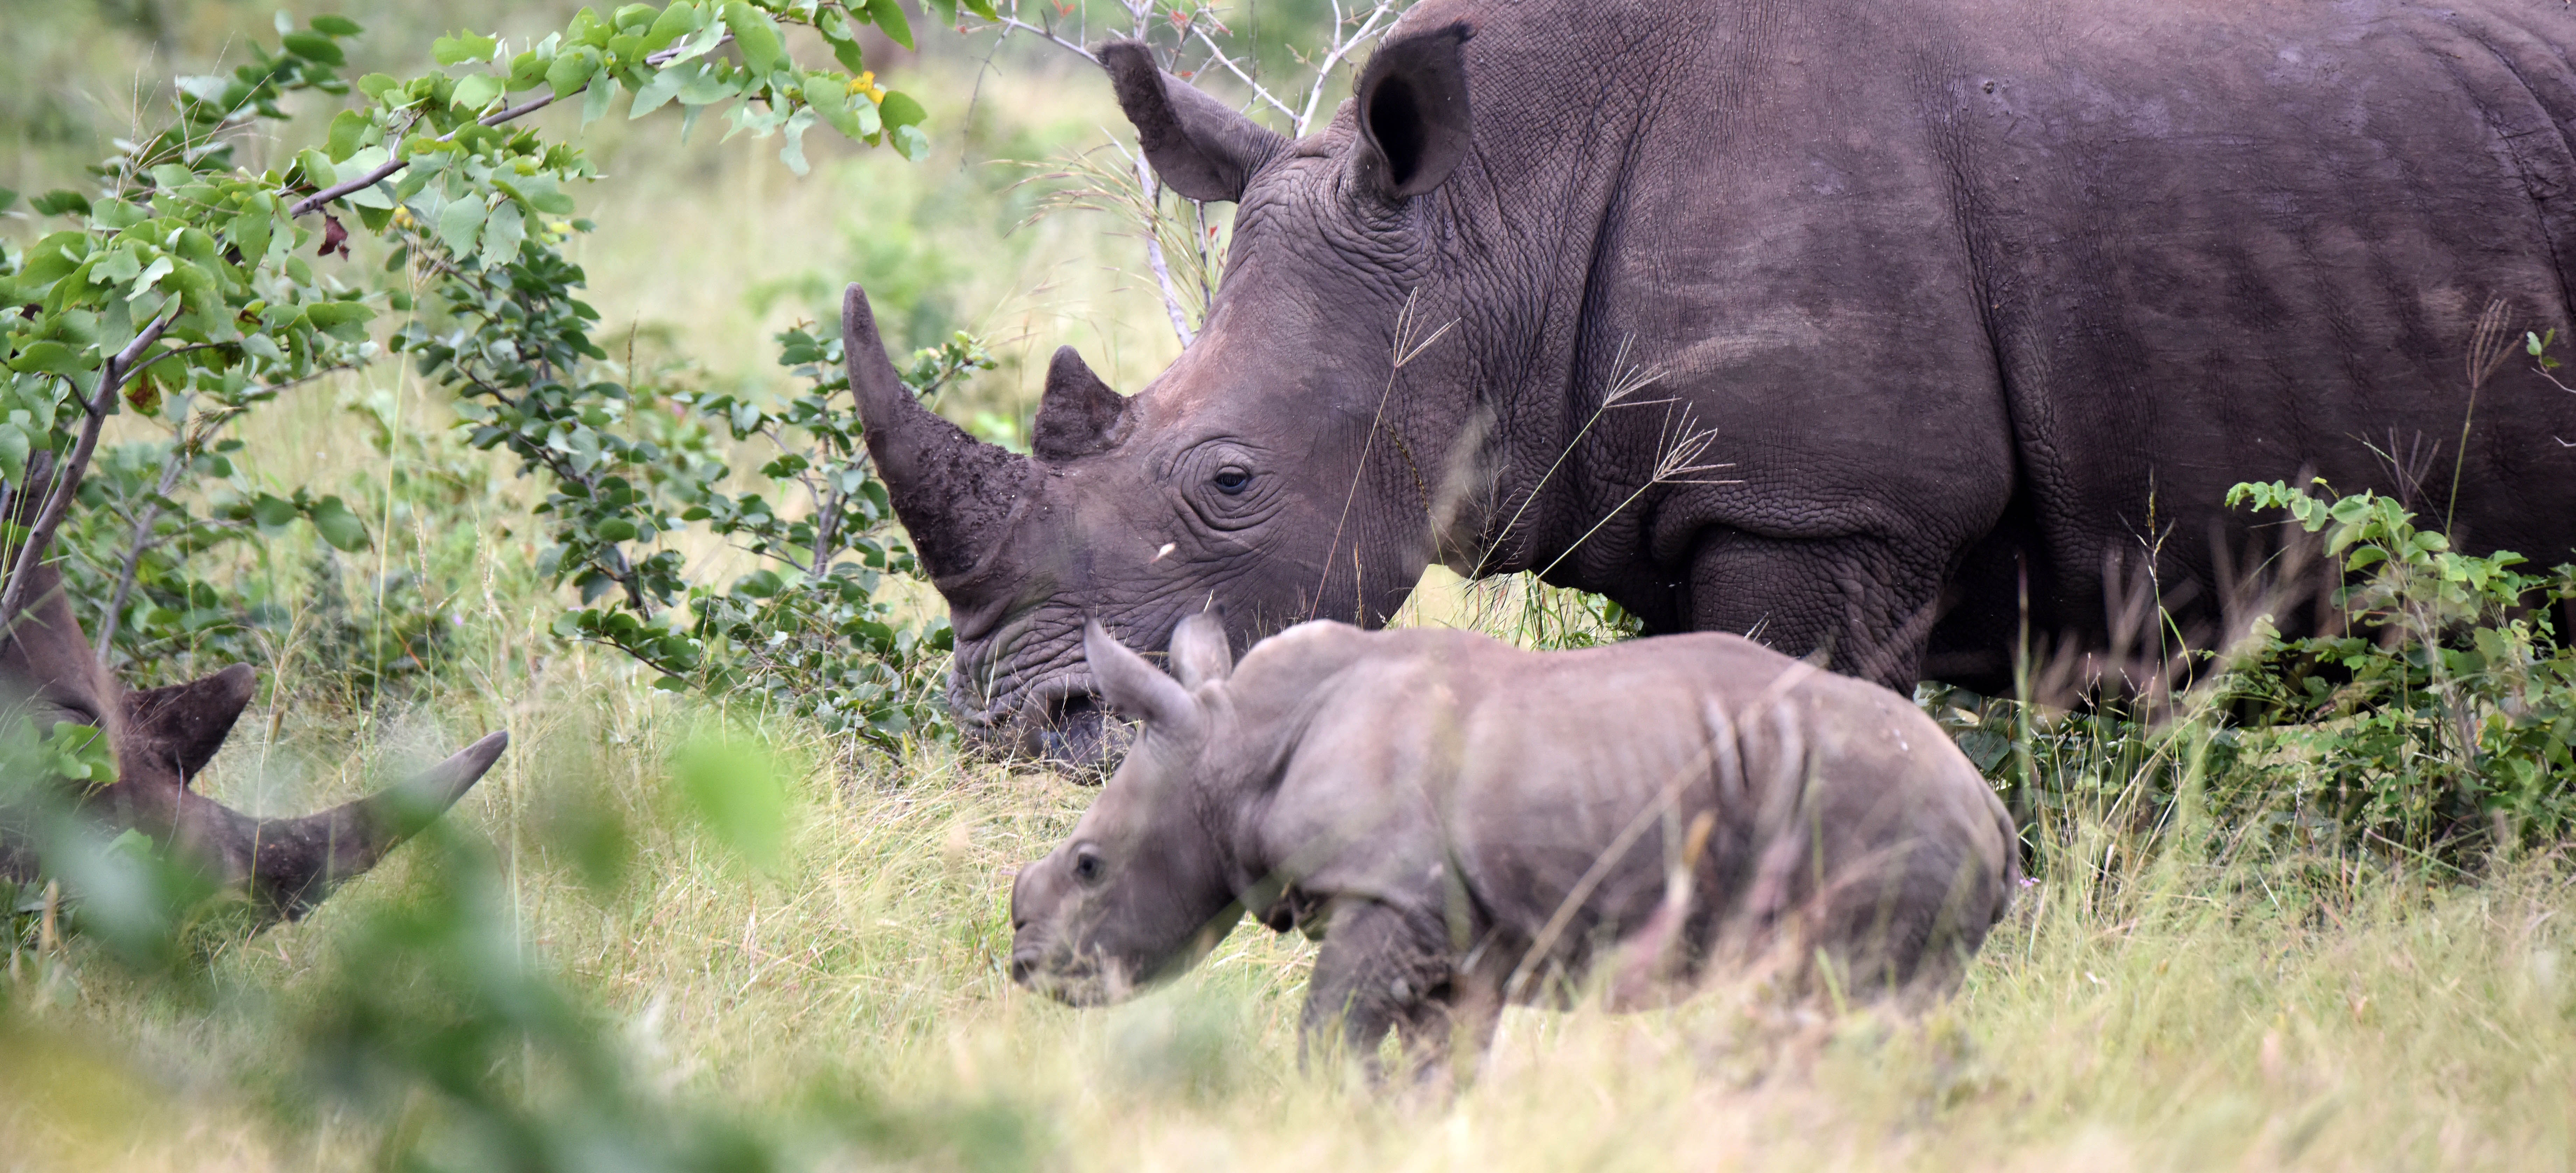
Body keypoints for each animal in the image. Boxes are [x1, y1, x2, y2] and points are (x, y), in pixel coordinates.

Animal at [1015, 619, 2019, 1077]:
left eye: (1089, 867)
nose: (1024, 965)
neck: (1234, 746)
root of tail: (1992, 806)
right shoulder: (1455, 935)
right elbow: (1435, 1070)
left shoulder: (1389, 896)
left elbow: (1327, 1036)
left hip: (1890, 816)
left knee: (1842, 1006)